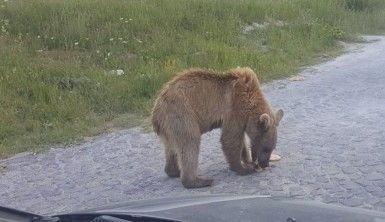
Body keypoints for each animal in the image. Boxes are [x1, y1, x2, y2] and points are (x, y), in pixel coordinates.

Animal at [151, 67, 282, 189]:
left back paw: (174, 171)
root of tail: (157, 109)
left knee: (171, 148)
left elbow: (240, 140)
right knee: (190, 143)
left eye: (272, 148)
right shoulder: (234, 108)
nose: (265, 164)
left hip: (169, 126)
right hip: (182, 114)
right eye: (266, 148)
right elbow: (230, 138)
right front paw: (243, 168)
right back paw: (199, 181)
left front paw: (248, 161)